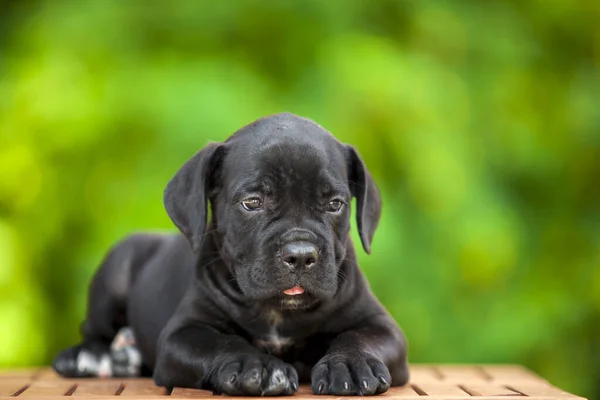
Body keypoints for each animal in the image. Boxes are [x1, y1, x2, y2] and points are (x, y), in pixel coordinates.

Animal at [54, 113, 410, 396]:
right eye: (252, 202)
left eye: (335, 204)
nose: (299, 255)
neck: (278, 313)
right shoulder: (182, 335)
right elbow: (221, 342)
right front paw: (256, 366)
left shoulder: (382, 326)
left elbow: (360, 337)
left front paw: (350, 364)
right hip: (117, 266)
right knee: (94, 330)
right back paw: (87, 357)